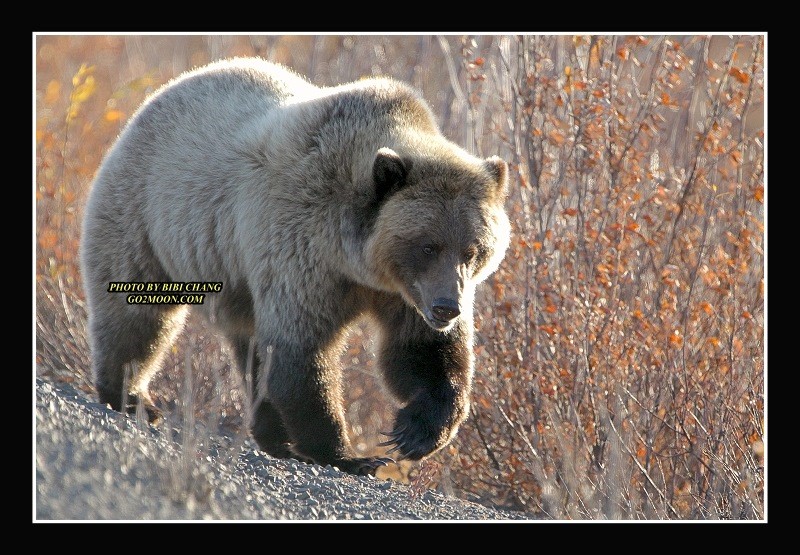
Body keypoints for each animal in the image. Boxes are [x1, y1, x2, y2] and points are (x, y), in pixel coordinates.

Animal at [80, 57, 511, 476]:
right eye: (427, 245)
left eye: (472, 250)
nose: (447, 308)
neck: (357, 260)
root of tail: (162, 92)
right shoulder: (300, 247)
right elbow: (300, 351)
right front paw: (350, 455)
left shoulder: (403, 294)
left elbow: (420, 351)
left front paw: (416, 432)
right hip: (148, 217)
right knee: (138, 315)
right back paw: (130, 396)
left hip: (234, 279)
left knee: (250, 347)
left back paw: (271, 434)